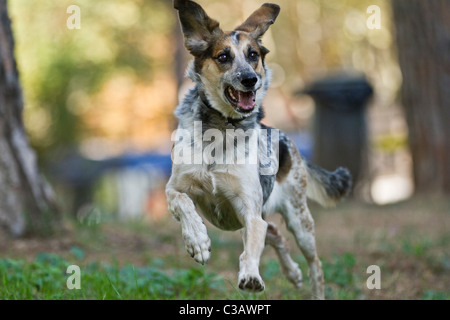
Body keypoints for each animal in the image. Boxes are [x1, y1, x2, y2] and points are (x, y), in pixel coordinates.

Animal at [166, 0, 352, 300]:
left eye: (252, 55)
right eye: (223, 57)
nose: (250, 79)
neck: (221, 129)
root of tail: (287, 141)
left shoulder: (250, 211)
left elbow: (252, 246)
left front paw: (251, 276)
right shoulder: (175, 187)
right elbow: (182, 203)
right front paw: (198, 241)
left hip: (300, 221)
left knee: (313, 263)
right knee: (274, 231)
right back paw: (292, 272)